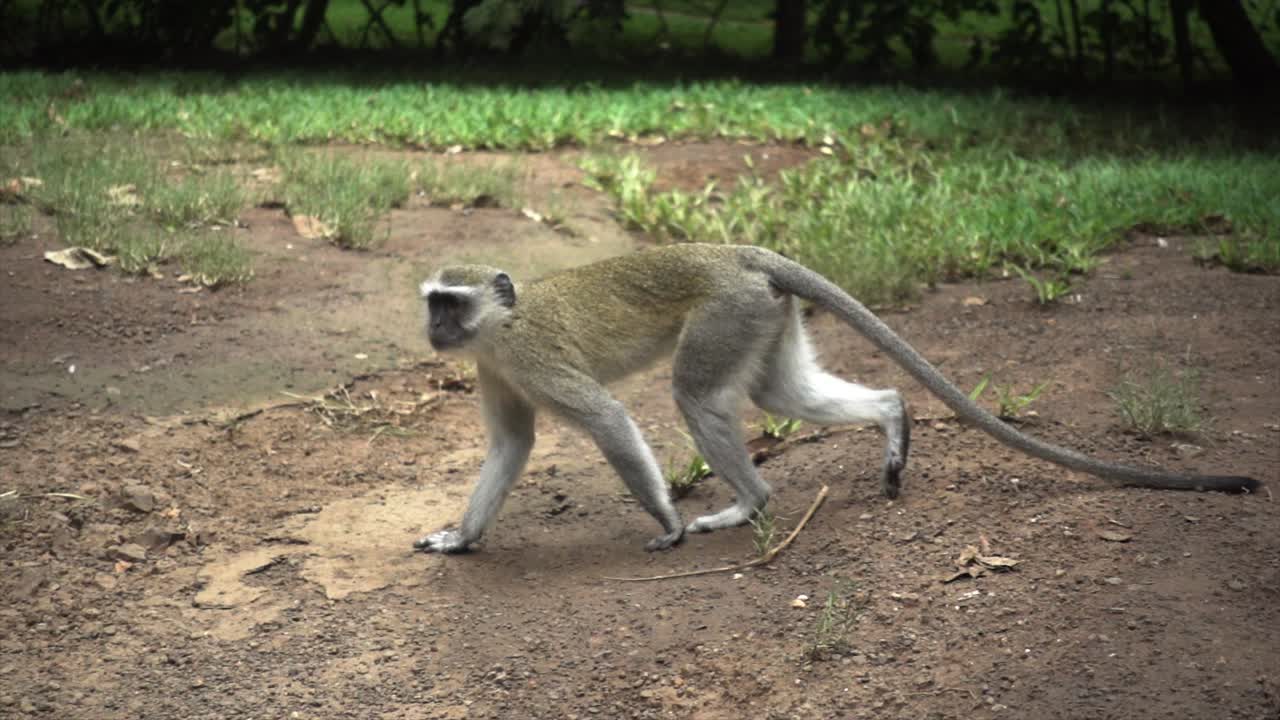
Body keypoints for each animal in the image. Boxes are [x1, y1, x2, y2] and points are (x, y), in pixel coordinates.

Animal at [413, 243, 1260, 554]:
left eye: (450, 303)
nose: (431, 329)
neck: (499, 326)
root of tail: (734, 252)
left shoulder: (528, 357)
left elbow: (606, 418)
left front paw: (668, 523)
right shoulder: (493, 369)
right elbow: (512, 446)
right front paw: (462, 539)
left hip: (727, 314)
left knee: (697, 394)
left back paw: (749, 505)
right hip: (762, 315)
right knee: (776, 387)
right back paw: (890, 415)